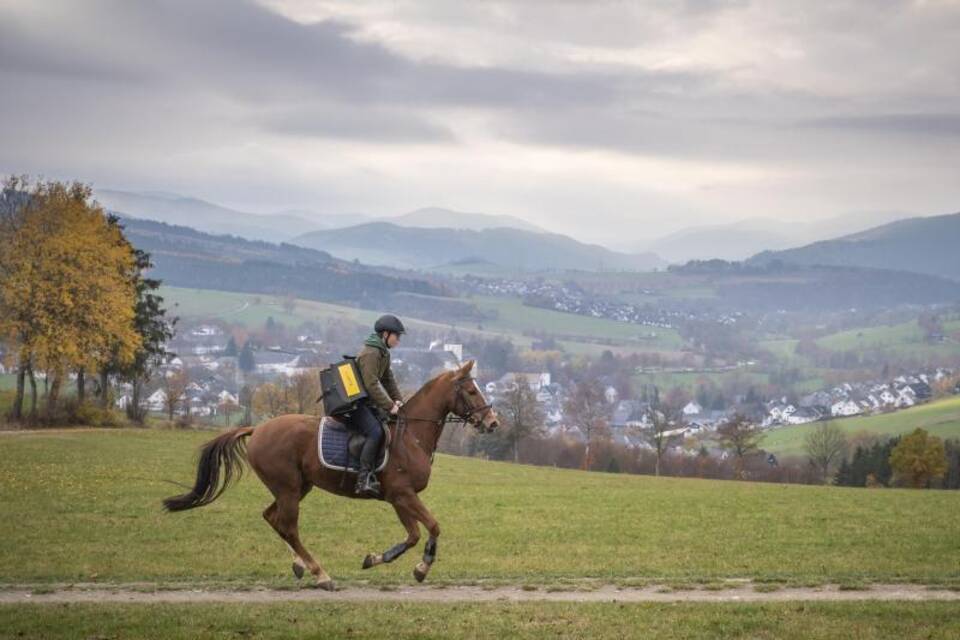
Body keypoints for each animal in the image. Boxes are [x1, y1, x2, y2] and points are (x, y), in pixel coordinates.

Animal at [161, 360, 498, 592]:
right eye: (471, 391)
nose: (493, 423)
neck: (411, 435)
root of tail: (257, 429)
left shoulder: (398, 498)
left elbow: (413, 534)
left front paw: (375, 559)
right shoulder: (403, 494)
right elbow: (432, 526)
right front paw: (422, 568)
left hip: (297, 487)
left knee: (273, 518)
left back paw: (299, 565)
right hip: (288, 488)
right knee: (288, 527)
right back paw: (320, 574)